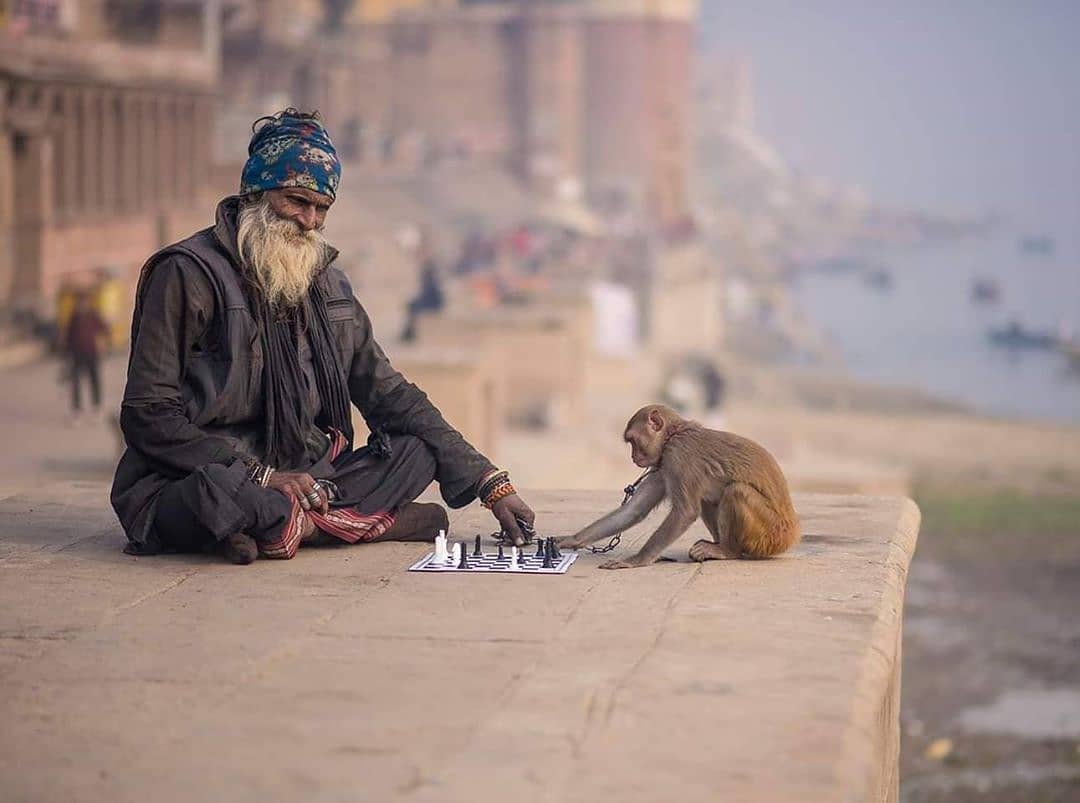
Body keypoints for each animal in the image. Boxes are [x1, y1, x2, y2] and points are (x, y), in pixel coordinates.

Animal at [557, 404, 800, 569]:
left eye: (633, 441)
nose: (633, 457)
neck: (674, 435)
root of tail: (793, 532)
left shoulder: (677, 457)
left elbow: (685, 512)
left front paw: (637, 560)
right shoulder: (661, 466)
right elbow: (634, 511)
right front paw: (571, 540)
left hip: (772, 535)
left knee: (736, 492)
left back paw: (727, 550)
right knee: (709, 498)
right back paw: (714, 545)